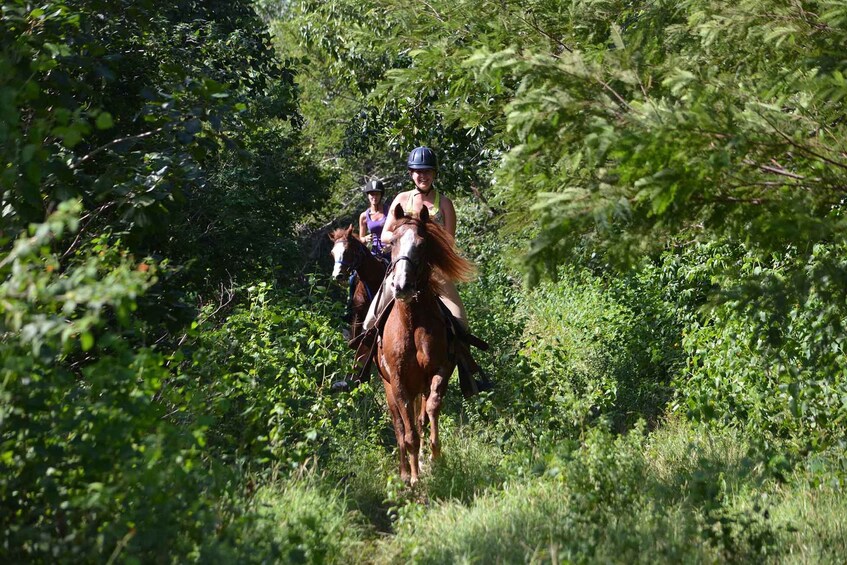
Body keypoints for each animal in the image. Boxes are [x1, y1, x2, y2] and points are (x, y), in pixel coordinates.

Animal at [380, 205, 476, 482]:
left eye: (422, 245)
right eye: (392, 242)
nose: (402, 286)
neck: (411, 324)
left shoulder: (440, 369)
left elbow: (431, 409)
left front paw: (435, 456)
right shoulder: (399, 383)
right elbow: (408, 431)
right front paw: (414, 477)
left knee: (420, 416)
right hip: (390, 389)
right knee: (400, 427)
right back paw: (405, 472)